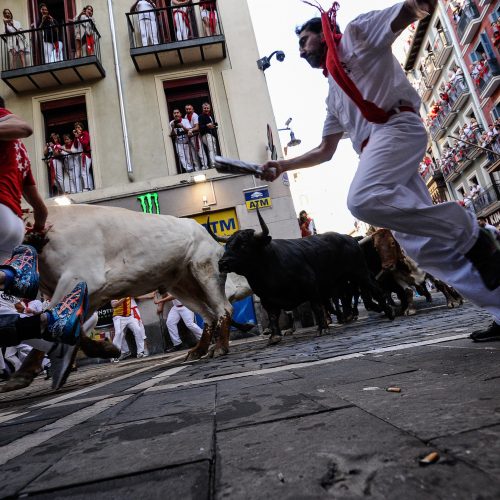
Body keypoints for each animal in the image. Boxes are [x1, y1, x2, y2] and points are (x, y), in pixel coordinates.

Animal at [29, 203, 244, 360]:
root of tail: (201, 229)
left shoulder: (78, 278)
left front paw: (107, 349)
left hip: (205, 270)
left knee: (223, 309)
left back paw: (220, 348)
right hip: (181, 285)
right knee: (209, 316)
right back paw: (198, 350)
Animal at [215, 210, 394, 344]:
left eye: (243, 245)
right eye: (227, 245)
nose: (222, 263)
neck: (269, 268)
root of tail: (349, 238)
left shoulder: (312, 288)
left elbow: (316, 307)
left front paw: (323, 328)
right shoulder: (267, 299)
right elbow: (273, 316)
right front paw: (275, 336)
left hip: (359, 272)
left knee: (375, 289)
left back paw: (388, 311)